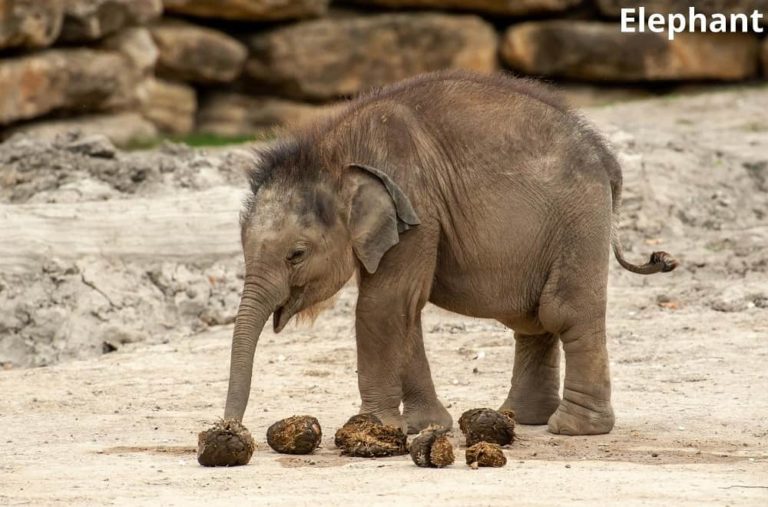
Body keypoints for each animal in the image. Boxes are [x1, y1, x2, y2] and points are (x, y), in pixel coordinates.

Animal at [222, 70, 677, 436]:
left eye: (296, 254)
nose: (229, 427)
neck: (331, 152)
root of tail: (608, 160)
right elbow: (405, 309)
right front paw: (427, 426)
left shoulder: (417, 206)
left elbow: (384, 303)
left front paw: (376, 426)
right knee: (531, 318)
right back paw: (522, 418)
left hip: (580, 221)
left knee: (564, 311)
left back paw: (572, 429)